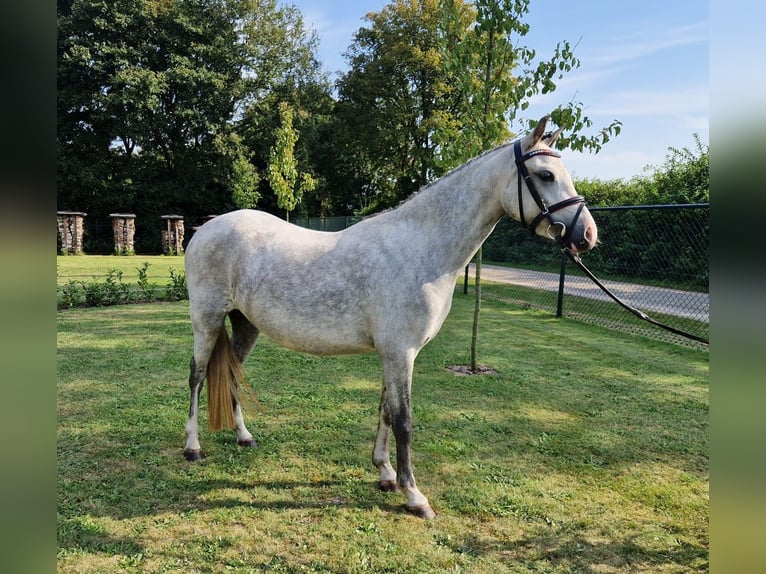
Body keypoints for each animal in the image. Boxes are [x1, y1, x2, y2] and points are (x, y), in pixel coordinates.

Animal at [183, 115, 596, 520]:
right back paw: (193, 447)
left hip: (246, 323)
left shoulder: (392, 354)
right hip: (207, 320)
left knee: (231, 372)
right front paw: (414, 496)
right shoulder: (401, 353)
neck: (420, 249)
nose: (587, 235)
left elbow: (384, 411)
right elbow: (403, 421)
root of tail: (207, 227)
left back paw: (244, 437)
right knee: (197, 376)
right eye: (545, 175)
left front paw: (385, 474)